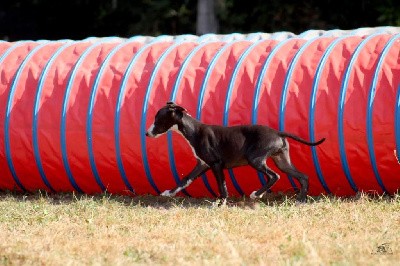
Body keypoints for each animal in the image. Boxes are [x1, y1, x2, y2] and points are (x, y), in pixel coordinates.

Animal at [145, 102, 326, 204]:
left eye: (158, 119)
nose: (147, 133)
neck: (193, 130)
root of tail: (278, 132)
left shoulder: (216, 164)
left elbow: (222, 185)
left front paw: (222, 202)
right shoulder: (202, 165)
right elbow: (185, 180)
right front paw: (169, 193)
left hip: (255, 159)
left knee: (274, 176)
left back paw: (257, 194)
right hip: (282, 161)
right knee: (303, 177)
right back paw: (301, 200)